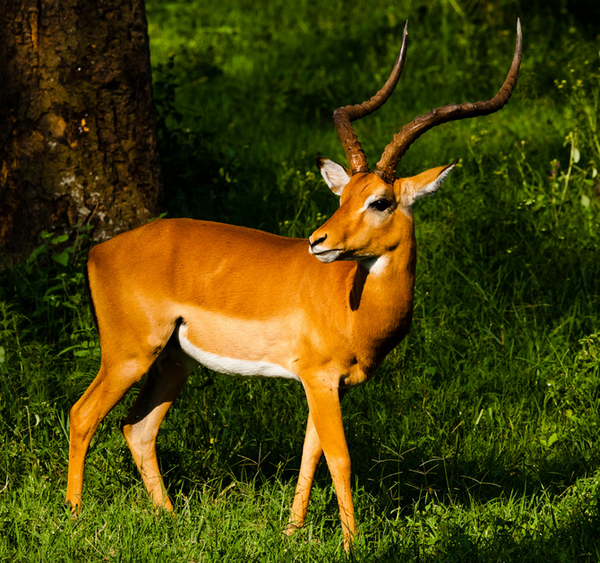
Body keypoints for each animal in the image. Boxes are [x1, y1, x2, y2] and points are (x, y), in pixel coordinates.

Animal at [67, 20, 520, 552]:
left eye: (380, 201)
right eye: (344, 196)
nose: (318, 241)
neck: (352, 305)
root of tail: (100, 251)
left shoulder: (323, 385)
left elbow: (311, 454)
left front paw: (290, 532)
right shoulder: (320, 379)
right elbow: (340, 457)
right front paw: (351, 546)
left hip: (173, 363)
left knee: (136, 428)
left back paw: (171, 518)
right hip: (129, 353)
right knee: (83, 414)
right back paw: (74, 519)